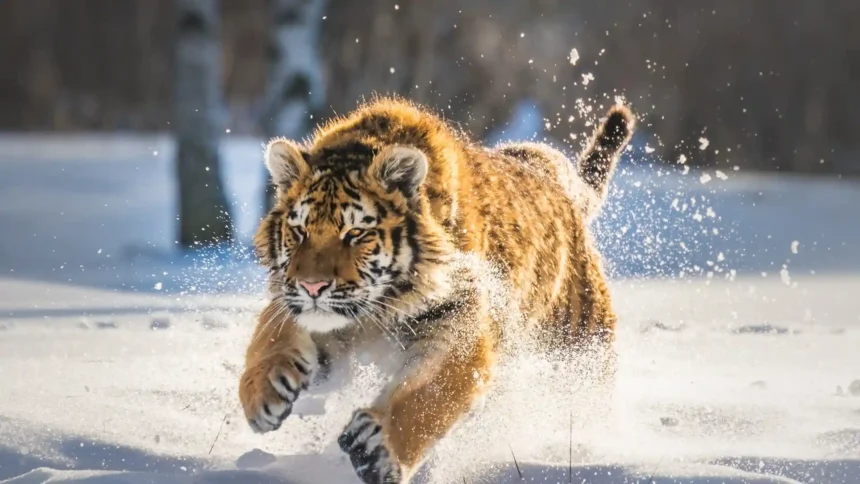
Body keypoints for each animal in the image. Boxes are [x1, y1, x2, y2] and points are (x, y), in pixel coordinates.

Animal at [238, 96, 635, 484]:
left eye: (356, 233)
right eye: (299, 231)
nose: (313, 286)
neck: (377, 310)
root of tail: (554, 176)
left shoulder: (460, 324)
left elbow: (429, 394)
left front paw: (378, 449)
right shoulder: (299, 306)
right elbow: (271, 336)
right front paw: (262, 392)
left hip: (581, 346)